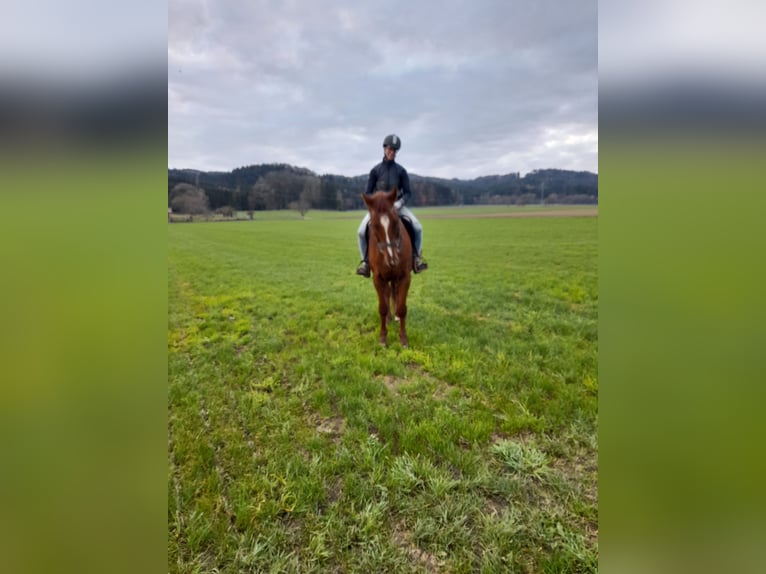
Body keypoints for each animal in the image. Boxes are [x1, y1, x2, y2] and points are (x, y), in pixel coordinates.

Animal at [362, 190, 414, 346]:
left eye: (396, 222)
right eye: (374, 225)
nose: (392, 259)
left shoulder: (404, 277)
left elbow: (402, 308)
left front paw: (403, 338)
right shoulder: (378, 278)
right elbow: (383, 308)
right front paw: (383, 337)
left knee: (394, 293)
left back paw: (395, 316)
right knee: (387, 294)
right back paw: (389, 318)